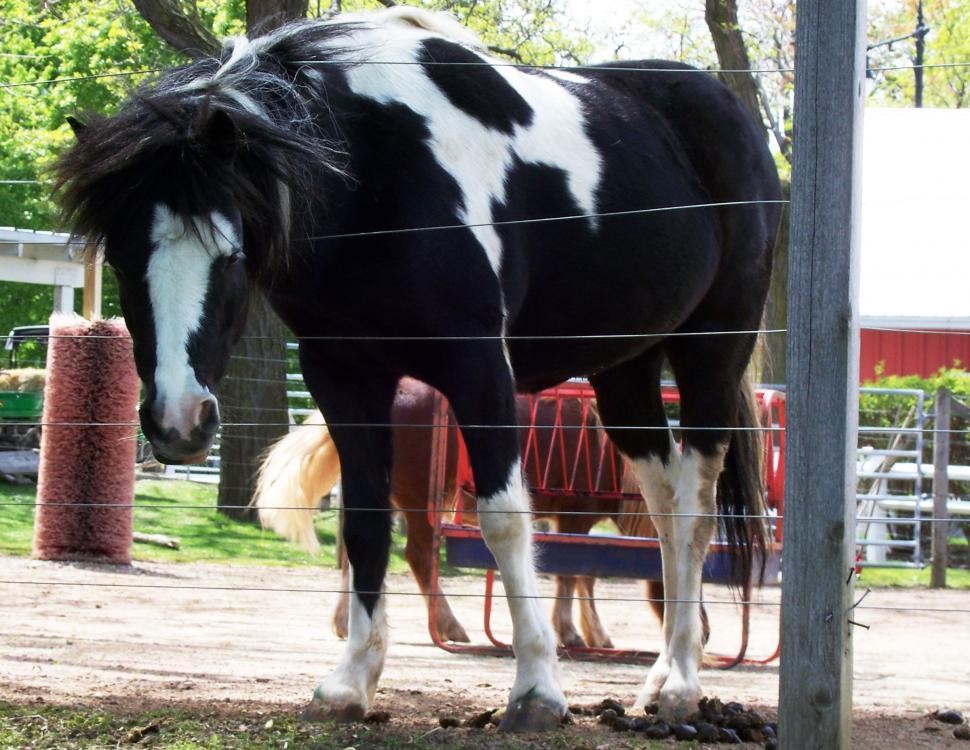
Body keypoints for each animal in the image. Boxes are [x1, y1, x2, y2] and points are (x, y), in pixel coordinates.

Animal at [252, 376, 697, 650]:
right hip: (418, 501)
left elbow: (582, 575)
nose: (703, 632)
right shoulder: (575, 516)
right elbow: (573, 576)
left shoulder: (573, 521)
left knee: (354, 553)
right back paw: (448, 625)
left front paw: (593, 635)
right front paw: (573, 633)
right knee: (418, 555)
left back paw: (348, 622)